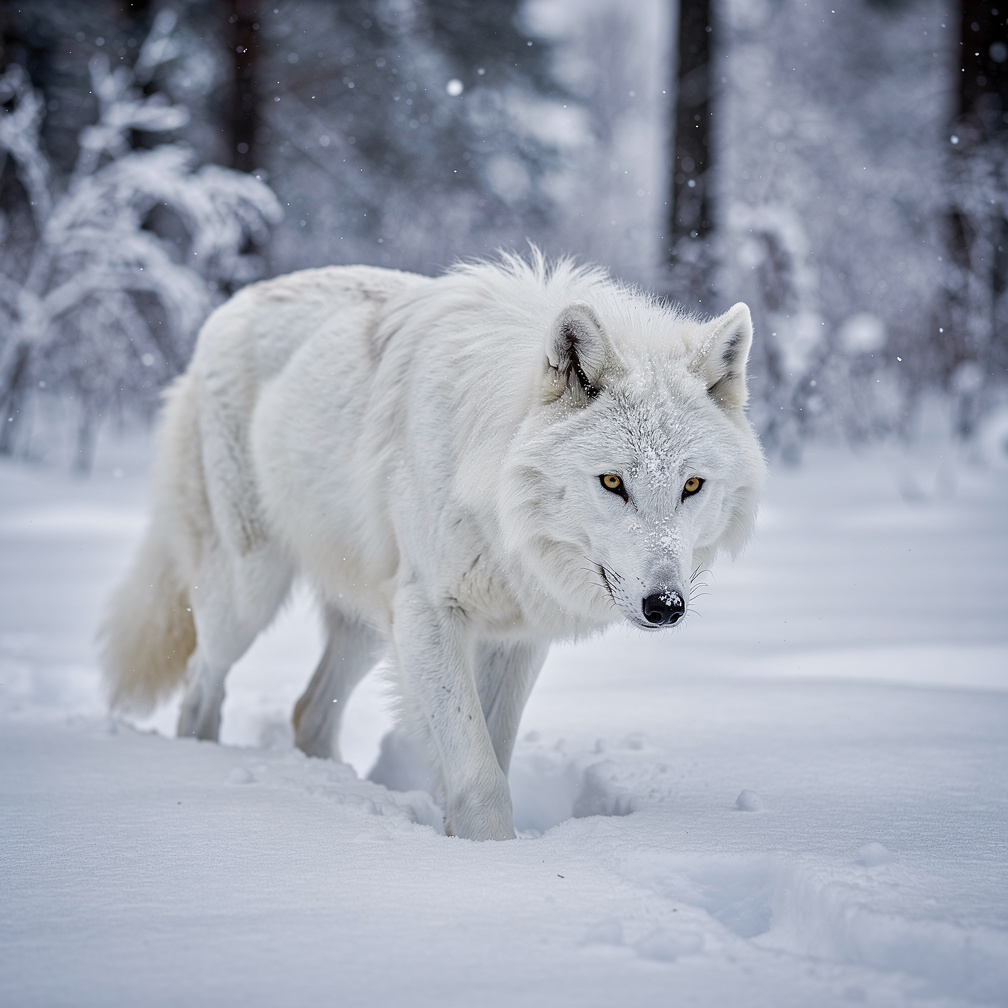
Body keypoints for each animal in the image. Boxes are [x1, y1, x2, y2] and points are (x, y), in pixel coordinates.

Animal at [100, 253, 765, 841]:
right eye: (612, 482)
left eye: (692, 486)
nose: (665, 606)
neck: (498, 506)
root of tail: (231, 305)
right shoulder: (430, 615)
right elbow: (480, 777)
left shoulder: (517, 638)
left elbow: (492, 752)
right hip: (250, 594)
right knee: (200, 685)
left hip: (368, 622)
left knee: (307, 711)